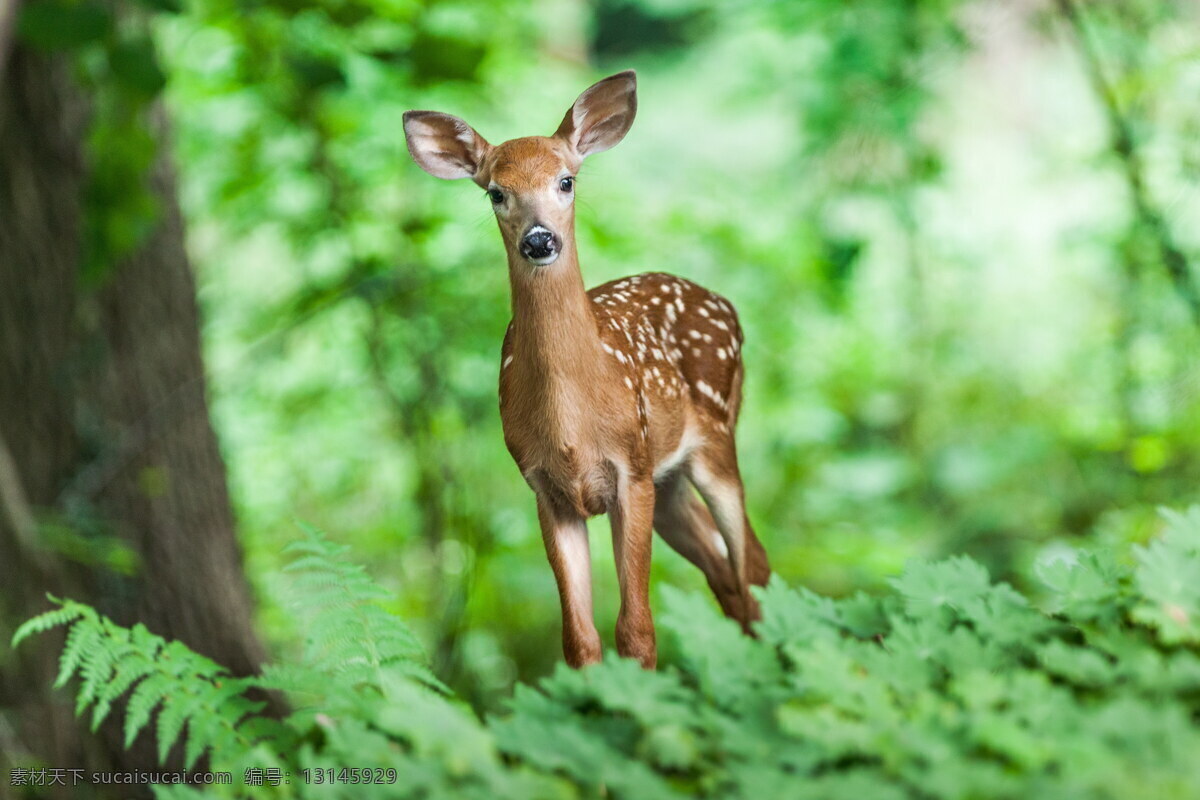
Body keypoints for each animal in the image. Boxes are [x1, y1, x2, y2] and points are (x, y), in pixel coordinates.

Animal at [403, 70, 768, 671]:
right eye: (495, 192)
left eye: (566, 181)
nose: (539, 239)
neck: (573, 424)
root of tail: (726, 304)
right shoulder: (545, 488)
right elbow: (579, 639)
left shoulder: (631, 470)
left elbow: (637, 631)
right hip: (670, 481)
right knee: (725, 572)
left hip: (715, 437)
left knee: (752, 564)